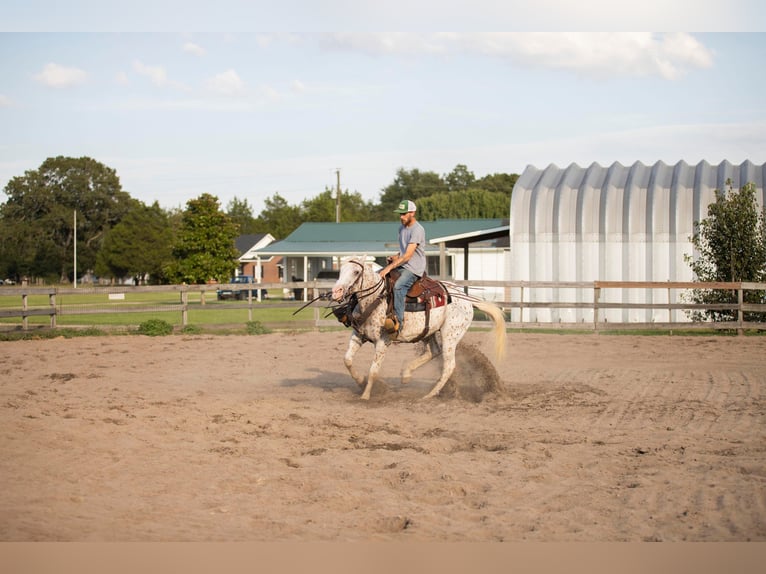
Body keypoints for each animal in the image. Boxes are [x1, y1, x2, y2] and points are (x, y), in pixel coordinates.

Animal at [332, 256, 508, 400]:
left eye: (356, 272)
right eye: (340, 270)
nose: (336, 292)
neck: (375, 299)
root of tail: (467, 300)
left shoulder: (383, 342)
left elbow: (373, 370)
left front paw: (366, 395)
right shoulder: (358, 336)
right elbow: (347, 360)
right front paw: (360, 381)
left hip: (450, 335)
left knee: (449, 365)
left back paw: (430, 394)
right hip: (429, 332)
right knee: (434, 351)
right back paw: (406, 374)